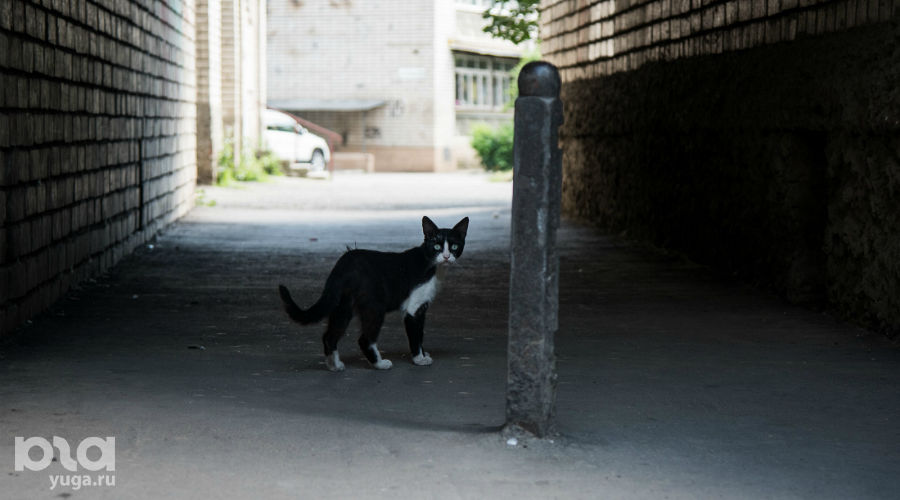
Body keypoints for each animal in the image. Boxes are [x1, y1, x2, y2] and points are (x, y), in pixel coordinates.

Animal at [278, 216, 469, 371]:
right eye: (436, 246)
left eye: (454, 246)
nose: (446, 257)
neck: (433, 267)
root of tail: (345, 262)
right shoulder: (414, 309)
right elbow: (416, 335)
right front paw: (419, 359)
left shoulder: (422, 308)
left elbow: (420, 333)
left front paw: (423, 354)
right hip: (374, 306)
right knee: (364, 338)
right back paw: (380, 364)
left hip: (343, 306)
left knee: (329, 336)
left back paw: (335, 366)